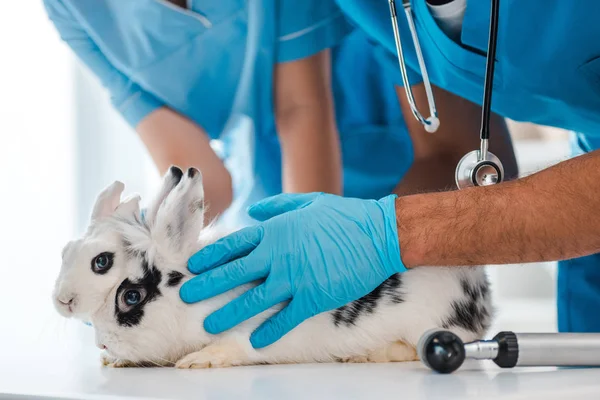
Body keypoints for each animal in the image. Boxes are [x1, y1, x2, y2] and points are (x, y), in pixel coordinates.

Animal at [52, 166, 492, 368]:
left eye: (131, 296)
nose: (102, 345)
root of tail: (479, 295)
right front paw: (116, 361)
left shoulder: (253, 330)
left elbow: (234, 345)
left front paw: (197, 361)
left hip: (430, 326)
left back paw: (367, 356)